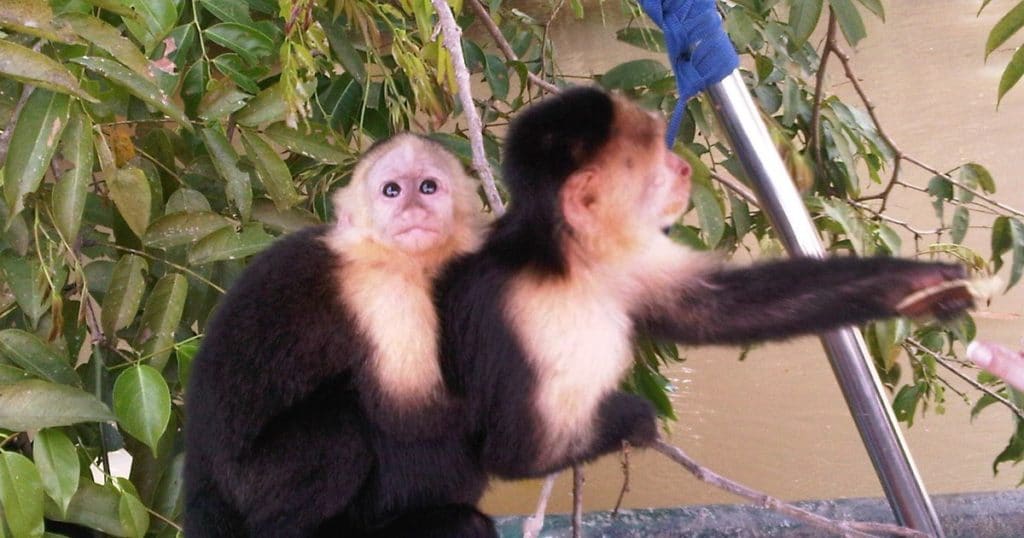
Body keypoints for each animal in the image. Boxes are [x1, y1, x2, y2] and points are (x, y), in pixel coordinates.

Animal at [183, 133, 493, 537]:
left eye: (428, 187)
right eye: (391, 191)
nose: (413, 210)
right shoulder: (385, 291)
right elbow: (409, 414)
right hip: (250, 483)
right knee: (346, 425)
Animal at [431, 86, 974, 500]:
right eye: (656, 159)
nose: (683, 167)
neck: (570, 265)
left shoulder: (629, 258)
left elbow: (711, 308)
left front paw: (920, 285)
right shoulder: (512, 312)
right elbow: (519, 453)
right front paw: (634, 418)